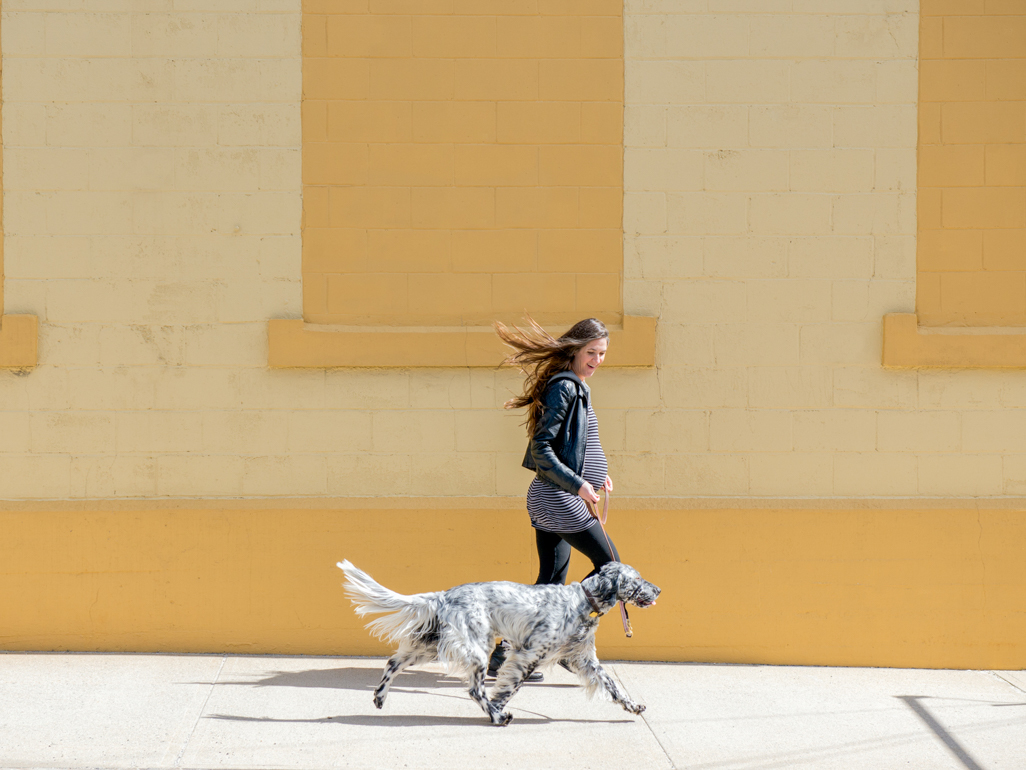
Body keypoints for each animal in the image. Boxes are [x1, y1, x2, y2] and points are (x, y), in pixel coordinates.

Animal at [332, 562, 660, 730]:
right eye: (638, 579)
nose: (658, 589)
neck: (583, 602)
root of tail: (444, 595)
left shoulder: (584, 660)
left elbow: (612, 685)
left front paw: (633, 706)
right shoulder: (528, 654)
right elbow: (509, 687)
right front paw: (499, 709)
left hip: (433, 645)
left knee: (393, 663)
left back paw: (379, 697)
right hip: (477, 650)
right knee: (474, 690)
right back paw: (497, 717)